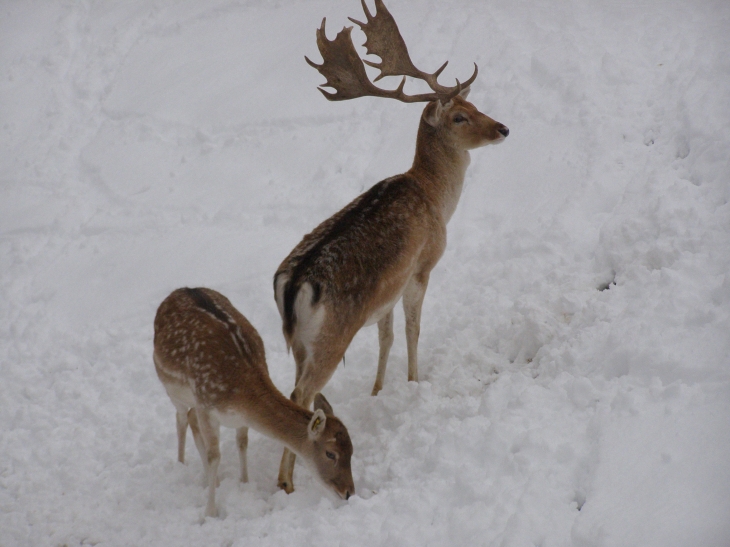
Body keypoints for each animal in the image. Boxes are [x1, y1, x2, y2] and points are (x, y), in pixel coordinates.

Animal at [153, 286, 352, 520]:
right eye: (330, 453)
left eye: (352, 450)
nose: (349, 492)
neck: (241, 394)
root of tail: (179, 290)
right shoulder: (207, 407)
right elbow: (214, 456)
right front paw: (210, 513)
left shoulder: (239, 418)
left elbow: (242, 443)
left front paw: (244, 484)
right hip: (173, 389)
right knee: (181, 419)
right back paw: (181, 464)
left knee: (190, 419)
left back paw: (214, 480)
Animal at [272, 0, 506, 494]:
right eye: (459, 117)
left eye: (475, 104)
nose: (503, 128)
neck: (435, 197)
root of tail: (295, 282)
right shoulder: (422, 265)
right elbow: (414, 329)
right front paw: (415, 383)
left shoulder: (385, 293)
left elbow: (387, 336)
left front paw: (379, 391)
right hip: (331, 337)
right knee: (300, 393)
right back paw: (287, 481)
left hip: (298, 341)